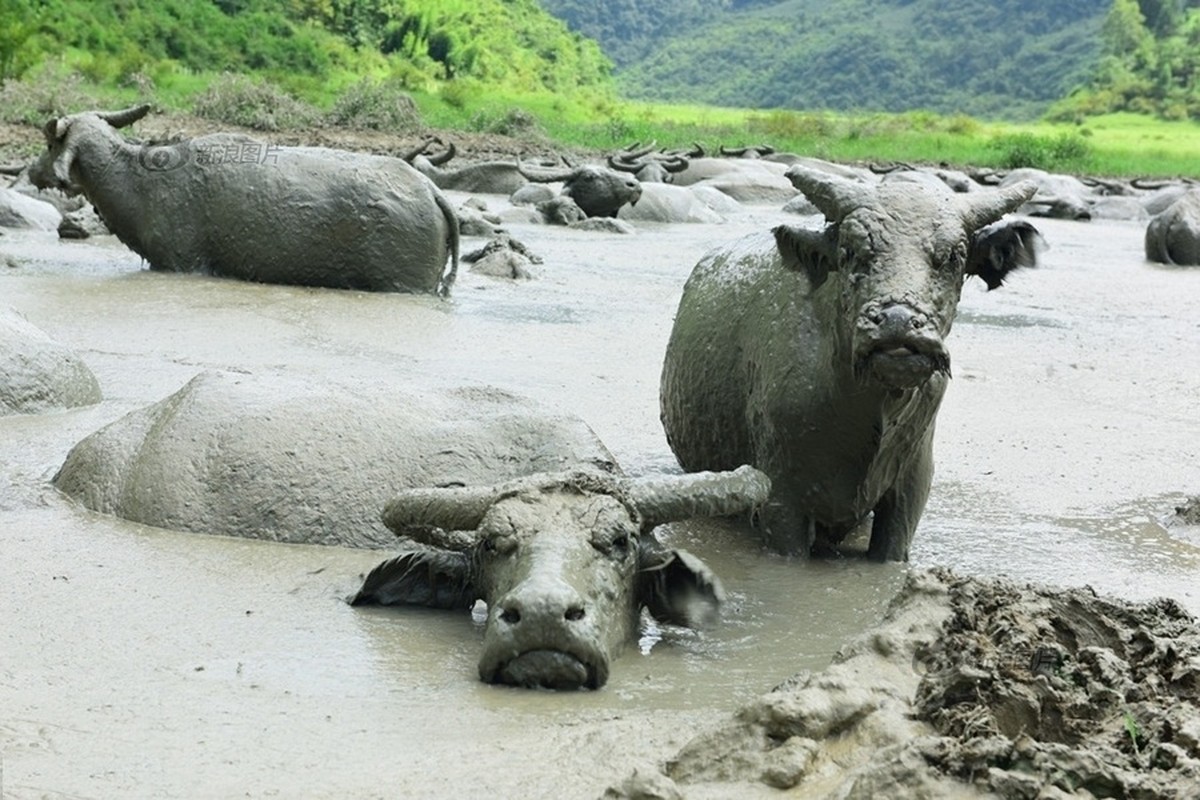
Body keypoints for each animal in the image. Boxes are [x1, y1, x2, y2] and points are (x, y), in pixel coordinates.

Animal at [32, 104, 456, 296]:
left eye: (51, 143)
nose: (34, 172)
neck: (139, 181)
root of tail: (431, 190)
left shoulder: (182, 262)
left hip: (405, 284)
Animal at [657, 165, 1041, 561]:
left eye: (953, 255)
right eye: (851, 250)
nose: (897, 322)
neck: (870, 409)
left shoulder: (909, 492)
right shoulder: (780, 499)